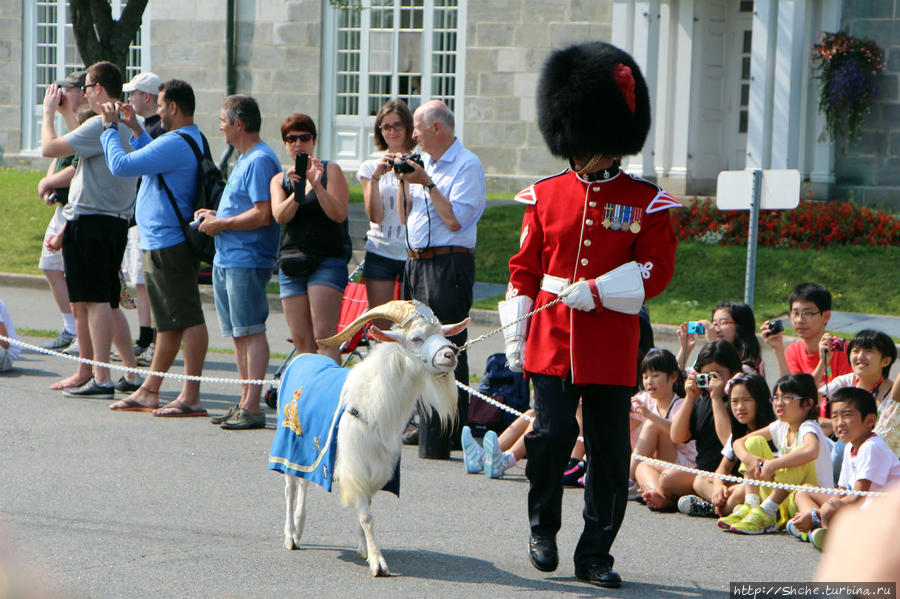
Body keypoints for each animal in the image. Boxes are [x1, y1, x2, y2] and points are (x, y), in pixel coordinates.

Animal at [268, 300, 468, 576]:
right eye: (416, 338)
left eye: (442, 333)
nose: (450, 355)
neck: (373, 404)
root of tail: (302, 358)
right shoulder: (356, 466)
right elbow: (366, 516)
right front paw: (378, 562)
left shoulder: (375, 469)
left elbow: (366, 509)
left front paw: (363, 548)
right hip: (288, 444)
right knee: (290, 488)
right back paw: (290, 537)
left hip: (307, 453)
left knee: (304, 483)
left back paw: (299, 528)